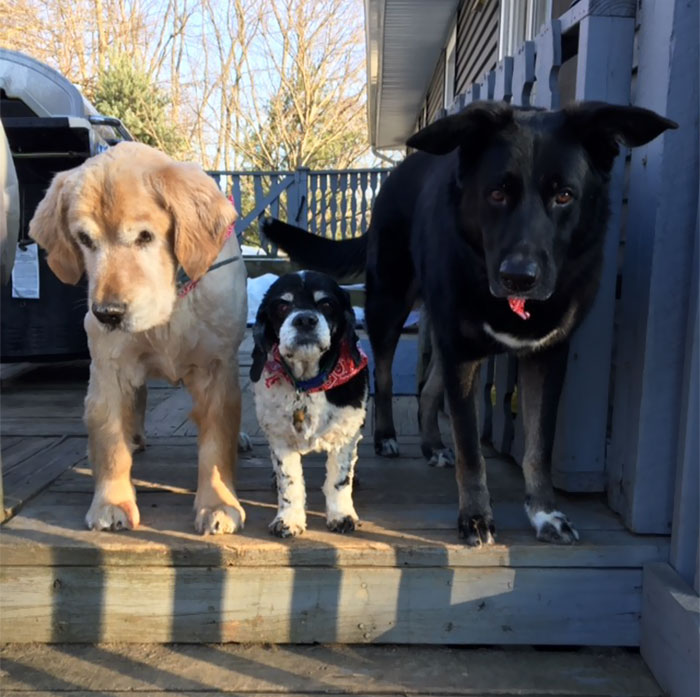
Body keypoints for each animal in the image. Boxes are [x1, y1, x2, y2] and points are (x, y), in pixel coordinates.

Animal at [250, 270, 370, 536]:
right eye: (282, 305)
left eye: (326, 304)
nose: (305, 320)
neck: (306, 387)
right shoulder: (280, 437)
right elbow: (289, 482)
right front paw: (288, 519)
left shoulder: (344, 434)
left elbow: (339, 480)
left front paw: (341, 516)